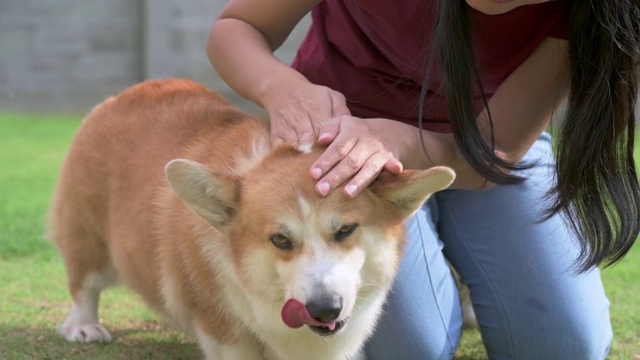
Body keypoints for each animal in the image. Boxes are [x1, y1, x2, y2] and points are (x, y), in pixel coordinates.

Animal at [50, 79, 456, 360]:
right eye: (280, 240)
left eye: (345, 230)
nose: (324, 309)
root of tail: (126, 94)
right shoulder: (220, 327)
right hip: (90, 238)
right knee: (84, 284)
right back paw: (84, 327)